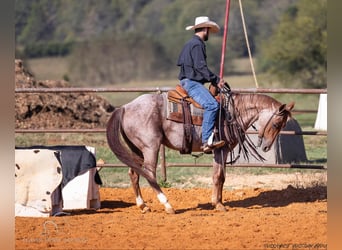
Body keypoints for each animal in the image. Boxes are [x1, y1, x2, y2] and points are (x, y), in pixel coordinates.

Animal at [106, 87, 294, 213]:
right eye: (277, 123)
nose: (266, 146)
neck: (232, 112)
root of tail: (125, 107)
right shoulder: (221, 150)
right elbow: (218, 177)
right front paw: (218, 204)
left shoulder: (222, 151)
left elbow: (221, 177)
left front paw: (218, 202)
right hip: (150, 147)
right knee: (149, 173)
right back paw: (167, 205)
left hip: (136, 149)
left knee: (134, 173)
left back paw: (143, 206)